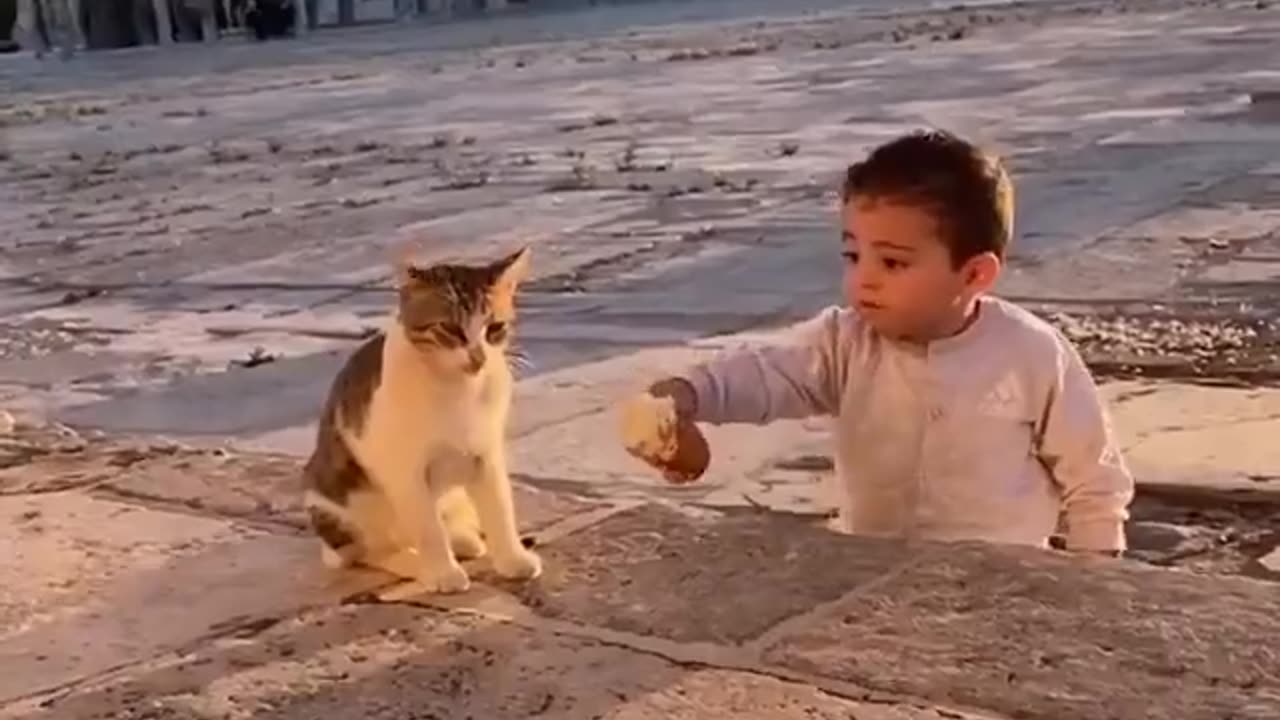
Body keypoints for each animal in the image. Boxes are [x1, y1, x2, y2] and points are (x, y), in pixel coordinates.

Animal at [303, 243, 540, 591]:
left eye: (495, 328)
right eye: (451, 330)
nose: (478, 357)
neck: (457, 389)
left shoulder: (487, 455)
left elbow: (499, 509)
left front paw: (513, 559)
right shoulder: (406, 471)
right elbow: (428, 528)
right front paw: (443, 573)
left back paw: (462, 540)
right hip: (343, 505)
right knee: (372, 551)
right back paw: (412, 561)